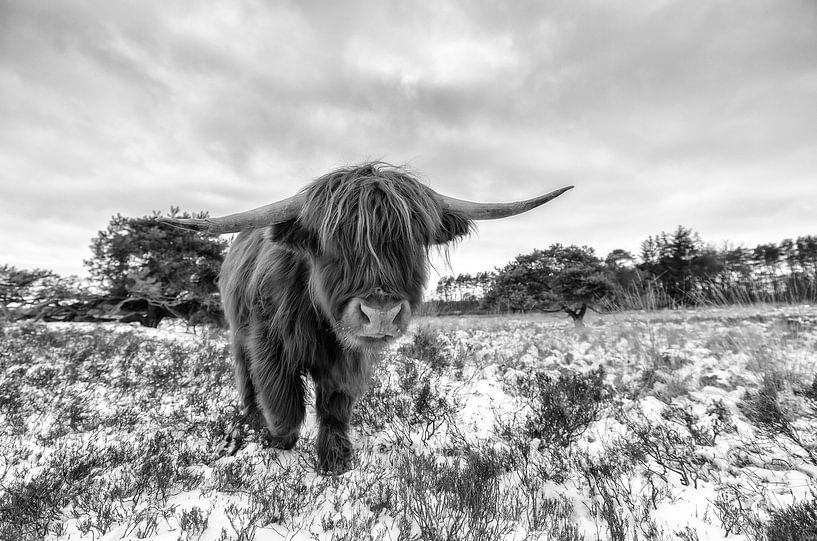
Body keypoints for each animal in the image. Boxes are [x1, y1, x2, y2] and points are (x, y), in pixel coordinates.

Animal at [161, 162, 572, 470]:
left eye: (411, 241)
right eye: (332, 243)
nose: (381, 313)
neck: (320, 321)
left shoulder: (350, 358)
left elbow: (334, 404)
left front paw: (336, 459)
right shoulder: (270, 346)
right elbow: (285, 402)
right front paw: (277, 440)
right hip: (236, 333)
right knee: (246, 380)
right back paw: (251, 421)